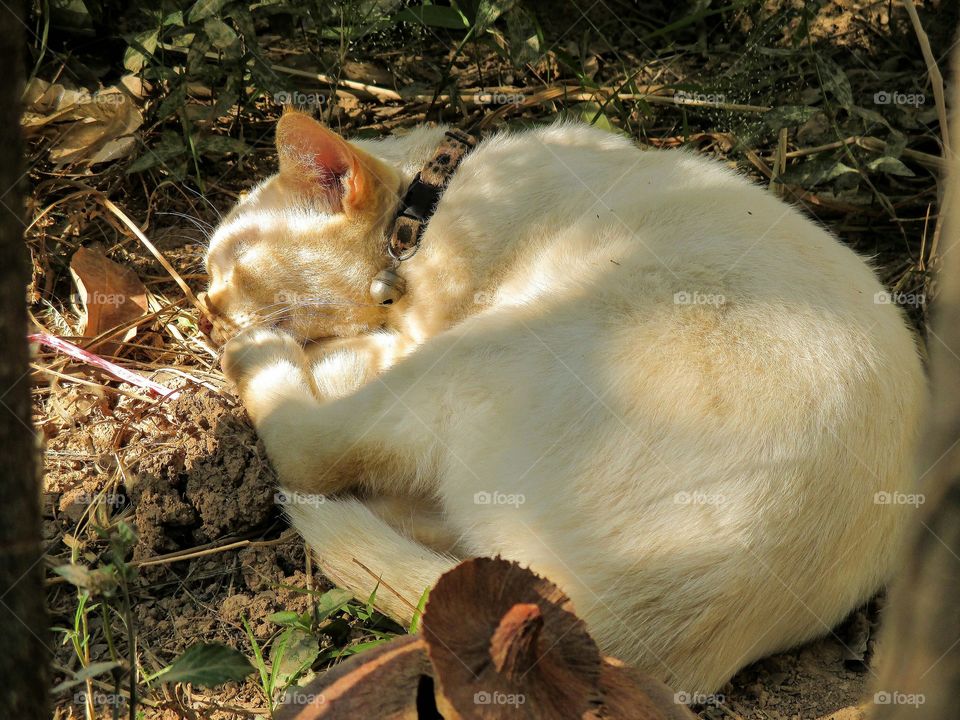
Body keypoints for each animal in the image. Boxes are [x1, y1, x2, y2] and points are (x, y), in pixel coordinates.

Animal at [201, 109, 924, 696]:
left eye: (229, 268)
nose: (205, 316)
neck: (434, 203)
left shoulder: (418, 331)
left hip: (488, 347)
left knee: (309, 454)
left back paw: (261, 354)